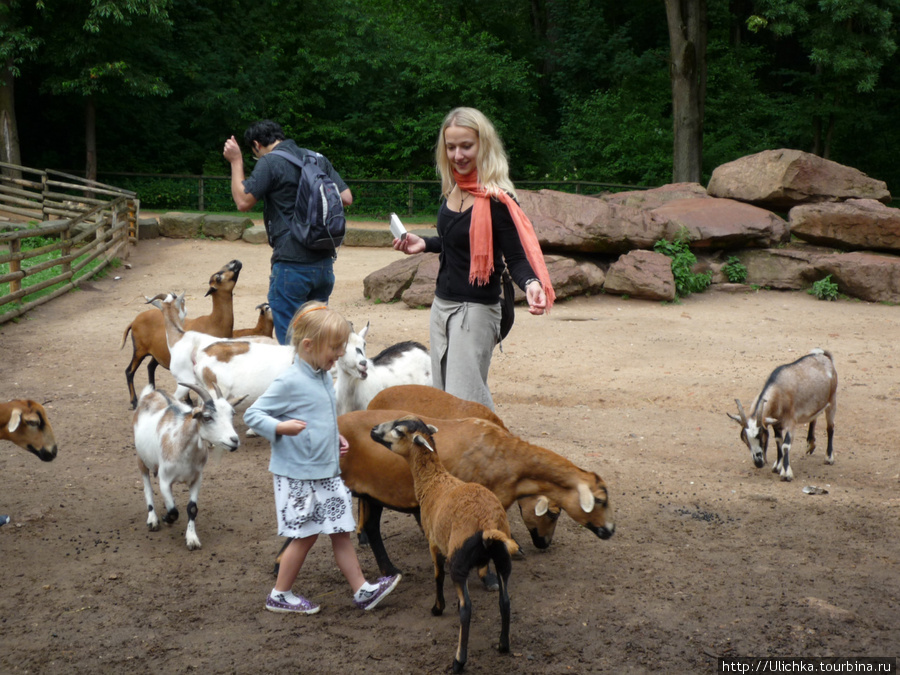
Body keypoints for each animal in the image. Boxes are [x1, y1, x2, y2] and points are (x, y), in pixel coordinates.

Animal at [123, 258, 244, 406]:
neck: (213, 322)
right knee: (129, 371)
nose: (235, 261)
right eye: (218, 276)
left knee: (150, 367)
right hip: (139, 350)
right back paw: (134, 401)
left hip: (155, 353)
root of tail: (134, 321)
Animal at [370, 414, 516, 672]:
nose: (373, 429)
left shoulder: (434, 543)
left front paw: (437, 608)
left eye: (398, 430)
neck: (433, 481)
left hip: (458, 560)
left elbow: (437, 576)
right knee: (505, 601)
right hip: (502, 559)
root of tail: (487, 523)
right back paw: (503, 645)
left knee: (467, 608)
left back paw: (459, 660)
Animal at [728, 348, 840, 480]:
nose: (758, 463)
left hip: (832, 401)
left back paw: (829, 457)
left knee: (830, 427)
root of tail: (824, 356)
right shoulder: (776, 422)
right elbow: (778, 442)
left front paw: (786, 473)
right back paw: (810, 444)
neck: (779, 391)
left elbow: (786, 445)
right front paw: (778, 466)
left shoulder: (791, 421)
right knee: (814, 418)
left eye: (761, 435)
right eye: (744, 438)